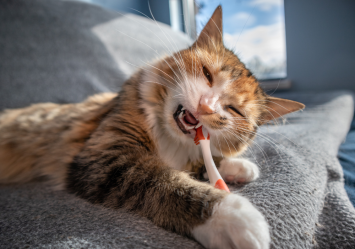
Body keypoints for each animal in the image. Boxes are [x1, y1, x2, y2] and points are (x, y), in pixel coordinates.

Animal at [0, 5, 306, 249]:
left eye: (234, 110)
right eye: (207, 74)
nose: (206, 107)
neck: (170, 140)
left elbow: (204, 162)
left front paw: (239, 167)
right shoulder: (107, 156)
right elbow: (166, 182)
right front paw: (231, 215)